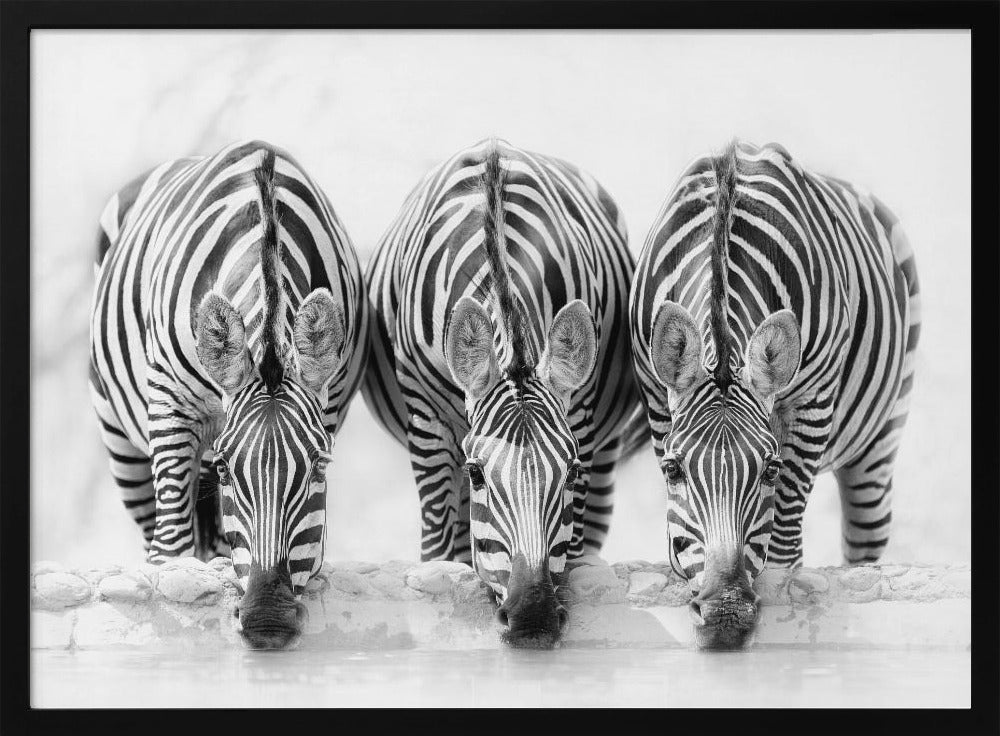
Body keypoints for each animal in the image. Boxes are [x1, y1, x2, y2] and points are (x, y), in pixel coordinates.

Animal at [89, 140, 368, 649]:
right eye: (225, 469)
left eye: (320, 466)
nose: (267, 621)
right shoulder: (170, 404)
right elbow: (171, 549)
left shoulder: (330, 402)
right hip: (120, 440)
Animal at [363, 138, 647, 648]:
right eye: (478, 474)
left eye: (571, 472)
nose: (532, 618)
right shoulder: (426, 420)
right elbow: (438, 546)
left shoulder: (581, 417)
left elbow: (572, 545)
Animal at [629, 140, 920, 649]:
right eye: (672, 469)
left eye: (769, 469)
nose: (724, 615)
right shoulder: (656, 396)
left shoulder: (813, 403)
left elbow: (784, 533)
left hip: (880, 440)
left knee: (864, 544)